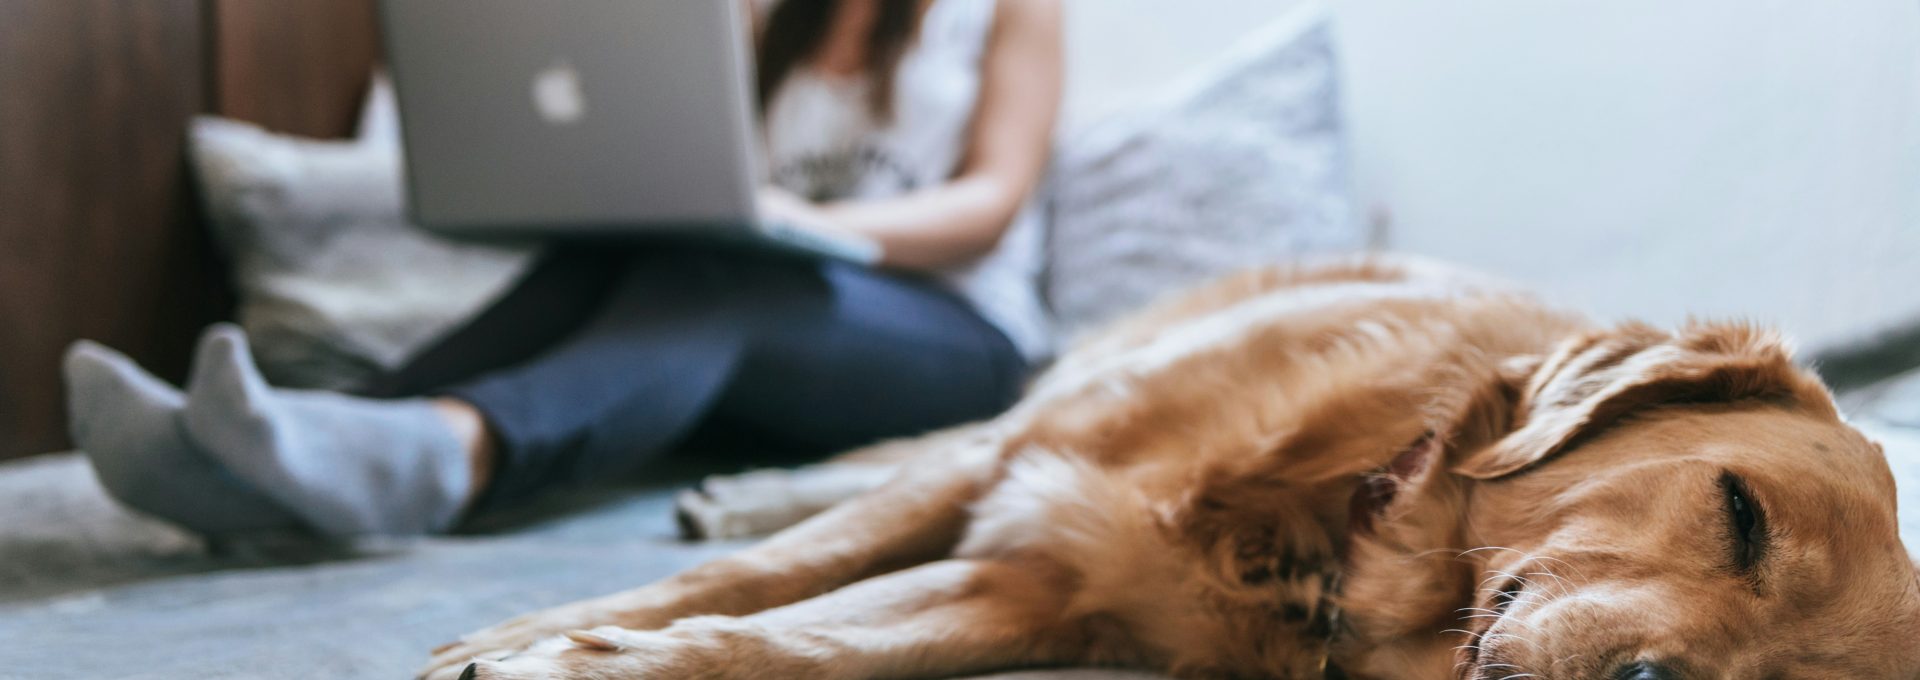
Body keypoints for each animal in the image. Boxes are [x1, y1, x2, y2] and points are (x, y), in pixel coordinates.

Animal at [420, 257, 1920, 676]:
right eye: (1739, 512)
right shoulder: (1031, 465)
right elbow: (777, 573)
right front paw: (531, 634)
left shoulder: (1035, 586)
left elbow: (804, 640)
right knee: (888, 457)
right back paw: (735, 487)